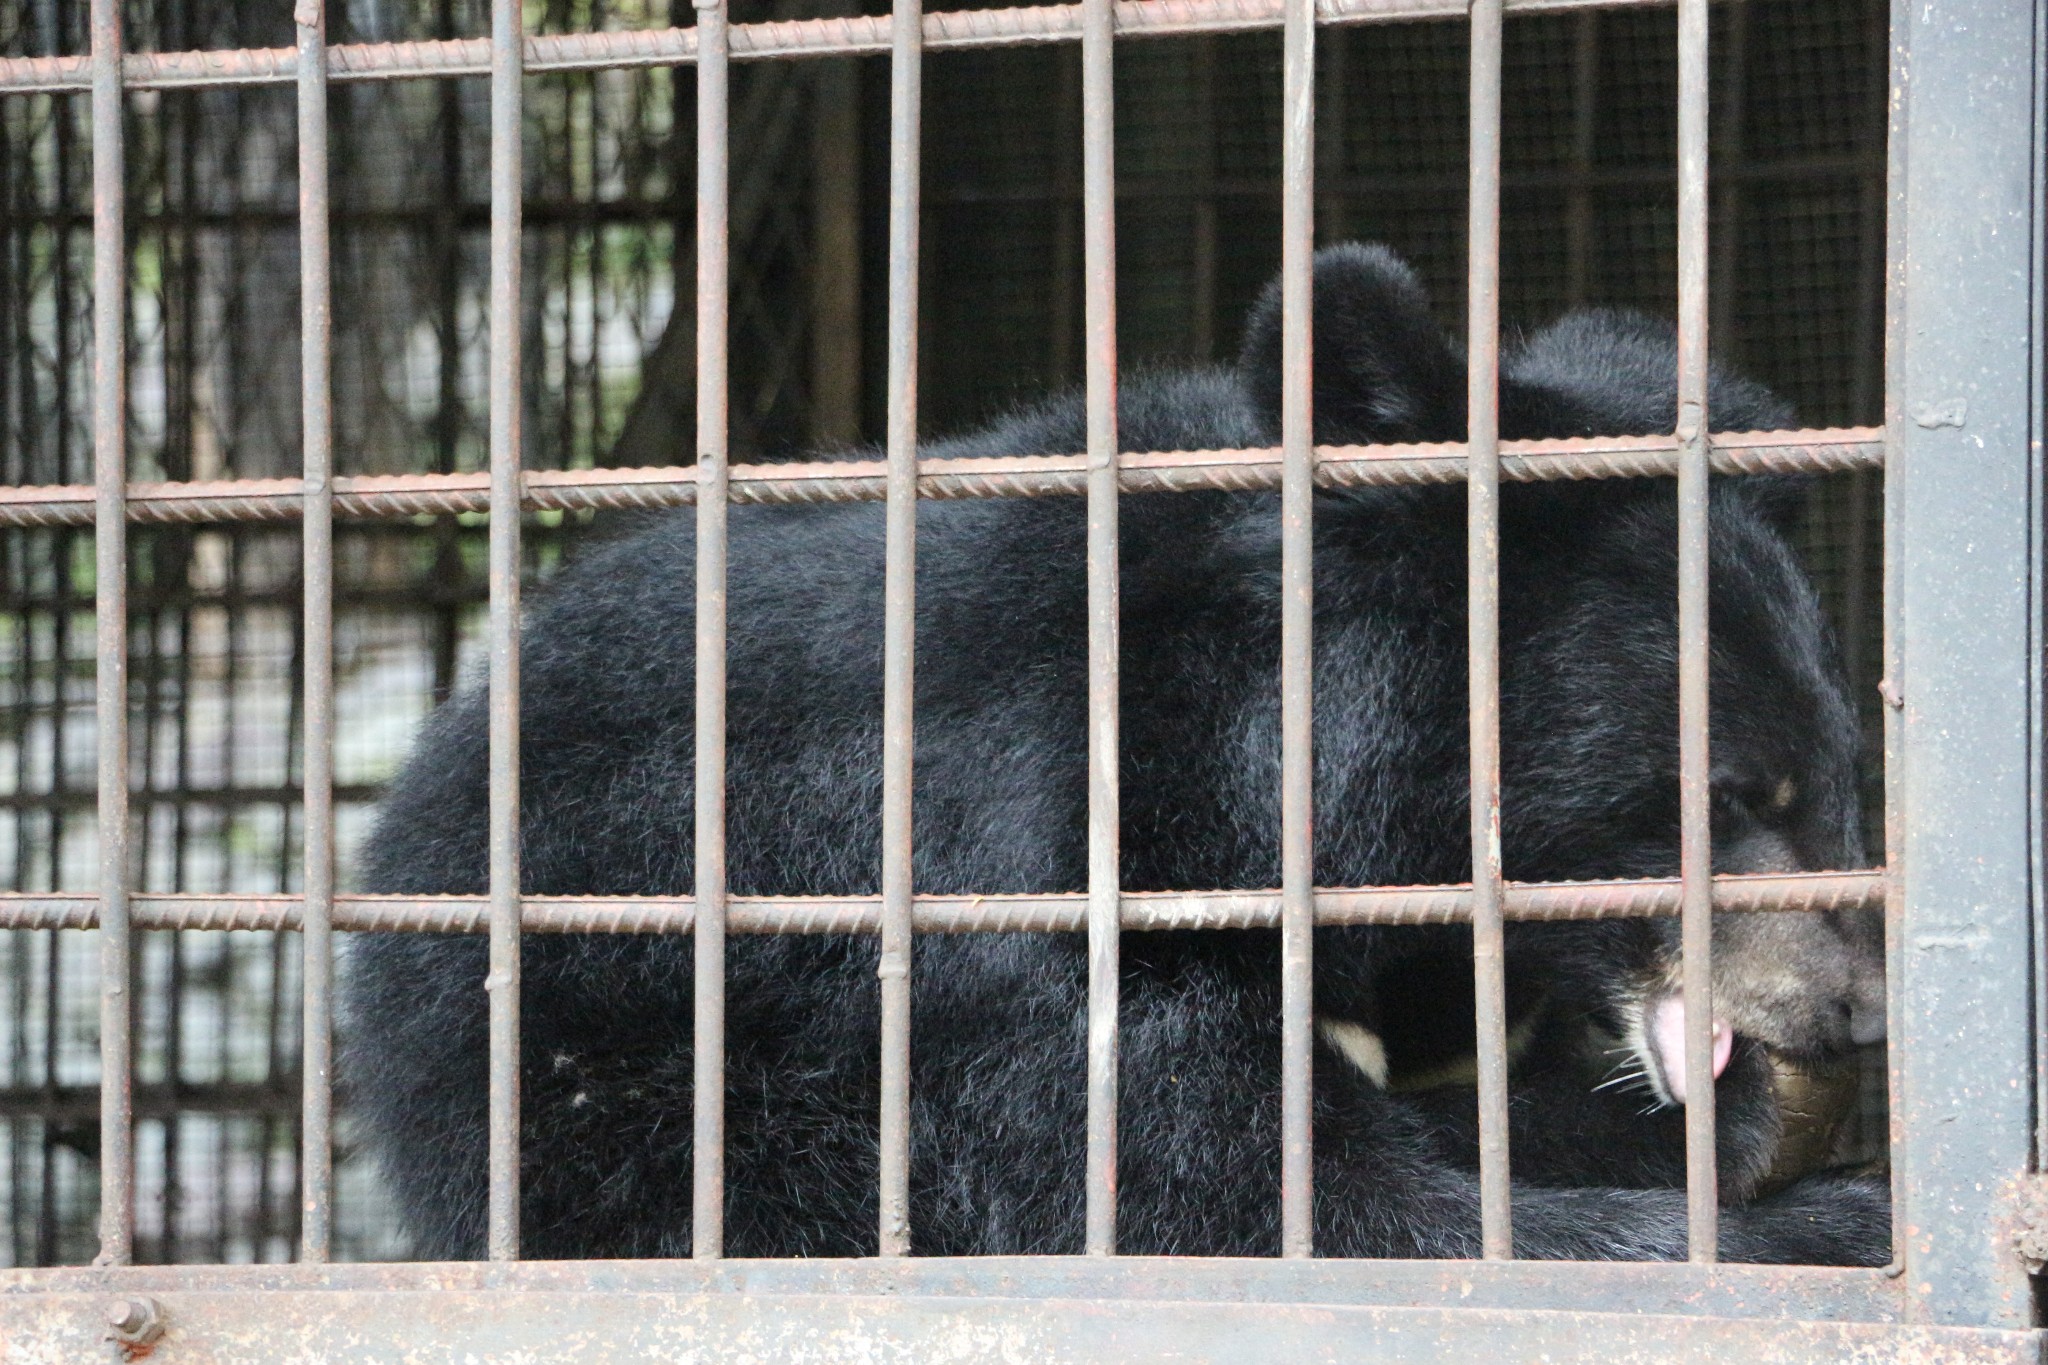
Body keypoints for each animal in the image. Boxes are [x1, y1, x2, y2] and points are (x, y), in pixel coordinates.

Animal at [348, 242, 1884, 1260]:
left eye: (1843, 778)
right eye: (1729, 793)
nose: (1853, 1011)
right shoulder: (1015, 871)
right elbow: (1215, 1178)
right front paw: (1804, 1198)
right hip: (614, 1087)